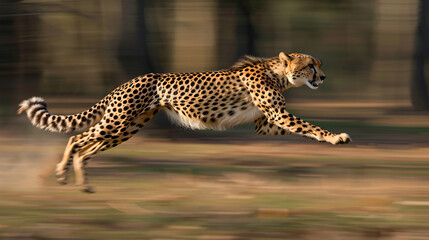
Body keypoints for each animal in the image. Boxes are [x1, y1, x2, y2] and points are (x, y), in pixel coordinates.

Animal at [18, 52, 350, 193]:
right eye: (311, 65)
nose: (323, 77)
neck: (278, 73)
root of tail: (130, 80)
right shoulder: (278, 114)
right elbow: (311, 126)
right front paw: (335, 137)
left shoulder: (266, 122)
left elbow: (303, 129)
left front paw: (327, 139)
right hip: (117, 121)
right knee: (76, 139)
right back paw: (61, 173)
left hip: (127, 128)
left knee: (86, 149)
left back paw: (83, 183)